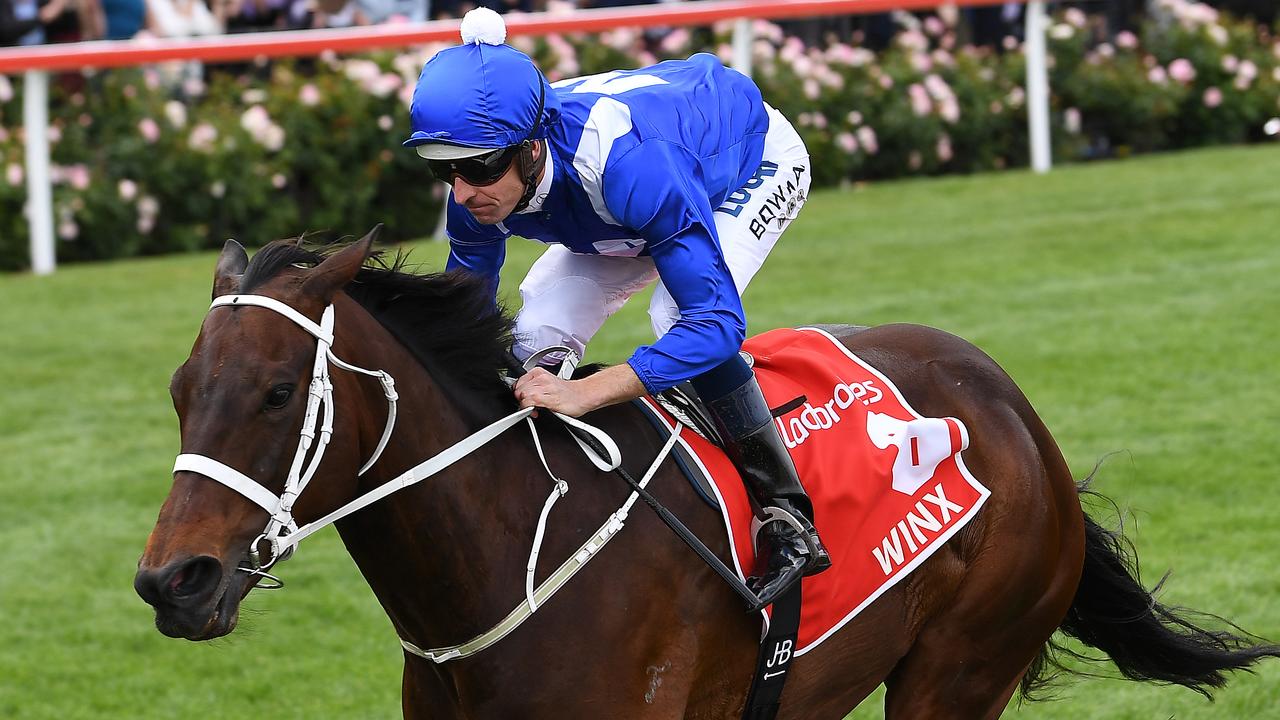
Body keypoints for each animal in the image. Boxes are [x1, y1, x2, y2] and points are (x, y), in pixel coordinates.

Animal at [135, 233, 1274, 712]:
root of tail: (1009, 403)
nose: (172, 582)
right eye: (181, 390)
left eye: (277, 392)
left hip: (961, 668)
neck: (506, 561)